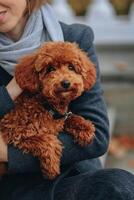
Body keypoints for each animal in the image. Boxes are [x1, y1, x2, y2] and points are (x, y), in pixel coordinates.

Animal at [0, 42, 96, 180]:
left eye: (71, 67)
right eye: (50, 69)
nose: (65, 83)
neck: (48, 106)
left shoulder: (60, 118)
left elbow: (68, 118)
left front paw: (85, 128)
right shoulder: (15, 131)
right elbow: (47, 140)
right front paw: (52, 167)